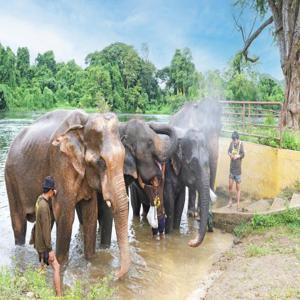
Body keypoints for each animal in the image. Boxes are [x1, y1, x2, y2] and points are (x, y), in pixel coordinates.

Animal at [4, 109, 130, 278]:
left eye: (123, 158)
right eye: (100, 162)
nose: (114, 274)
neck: (84, 122)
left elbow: (90, 212)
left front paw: (91, 261)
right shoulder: (60, 162)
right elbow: (65, 215)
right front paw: (61, 265)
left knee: (45, 220)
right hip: (11, 179)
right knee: (19, 224)